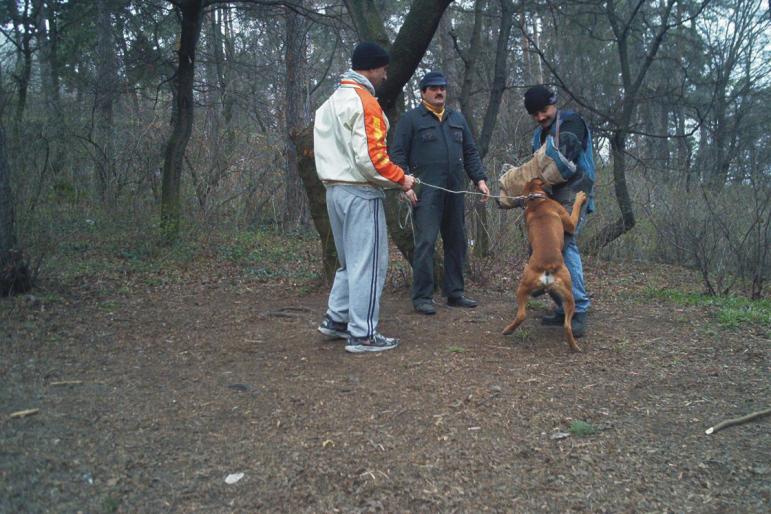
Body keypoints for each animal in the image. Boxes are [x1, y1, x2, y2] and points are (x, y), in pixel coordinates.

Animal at [504, 177, 588, 352]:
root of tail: (548, 267)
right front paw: (580, 197)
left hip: (561, 296)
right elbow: (575, 212)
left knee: (563, 325)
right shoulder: (569, 222)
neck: (536, 201)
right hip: (547, 291)